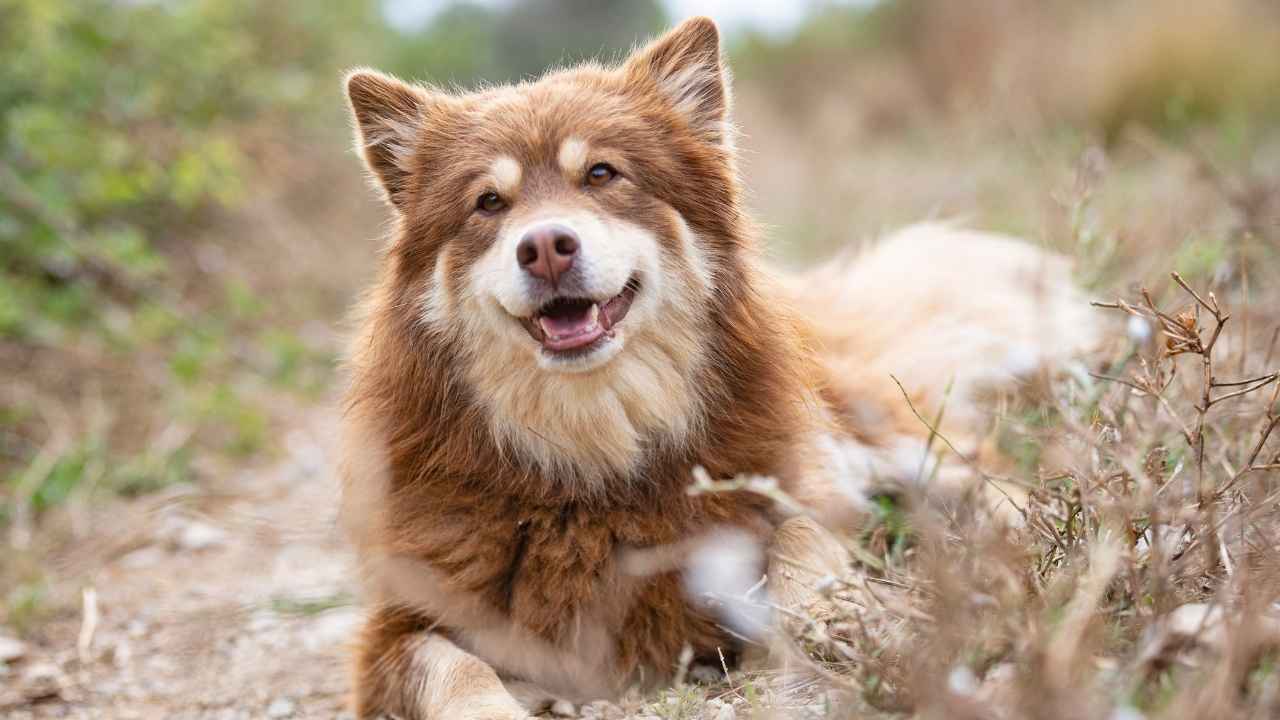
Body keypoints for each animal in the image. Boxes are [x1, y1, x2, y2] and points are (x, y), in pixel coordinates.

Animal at [335, 16, 1095, 717]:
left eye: (601, 174)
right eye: (489, 203)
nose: (546, 246)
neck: (595, 453)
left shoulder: (800, 488)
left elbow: (801, 550)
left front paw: (822, 627)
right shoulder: (403, 628)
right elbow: (452, 669)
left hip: (886, 441)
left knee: (987, 471)